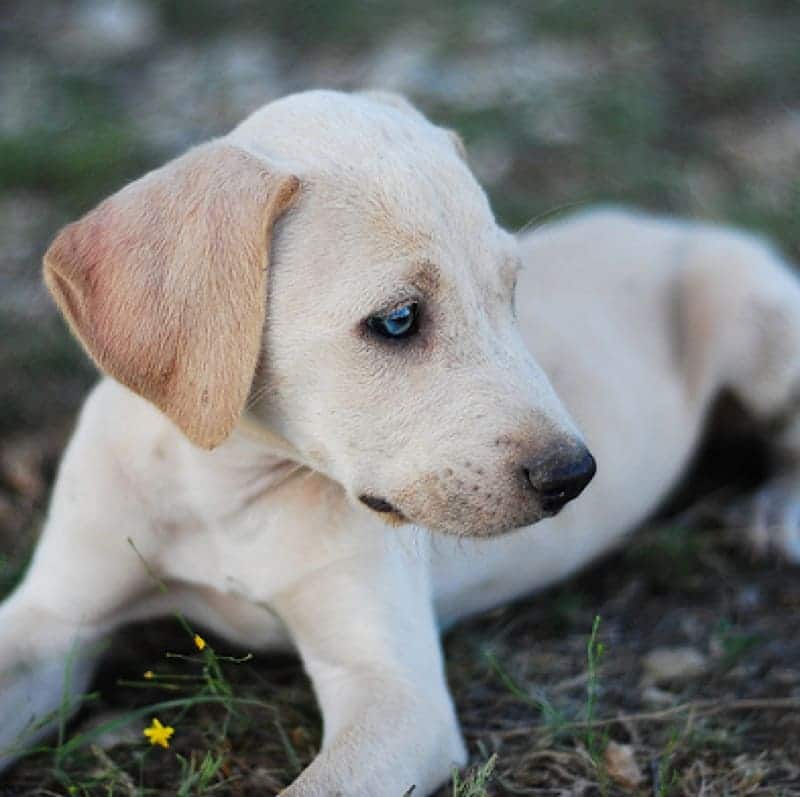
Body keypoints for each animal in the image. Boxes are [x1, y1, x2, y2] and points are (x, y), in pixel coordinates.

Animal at [1, 90, 800, 792]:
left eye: (512, 293)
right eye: (397, 320)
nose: (574, 476)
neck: (228, 489)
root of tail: (672, 221)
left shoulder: (395, 696)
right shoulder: (53, 622)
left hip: (760, 325)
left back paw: (775, 515)